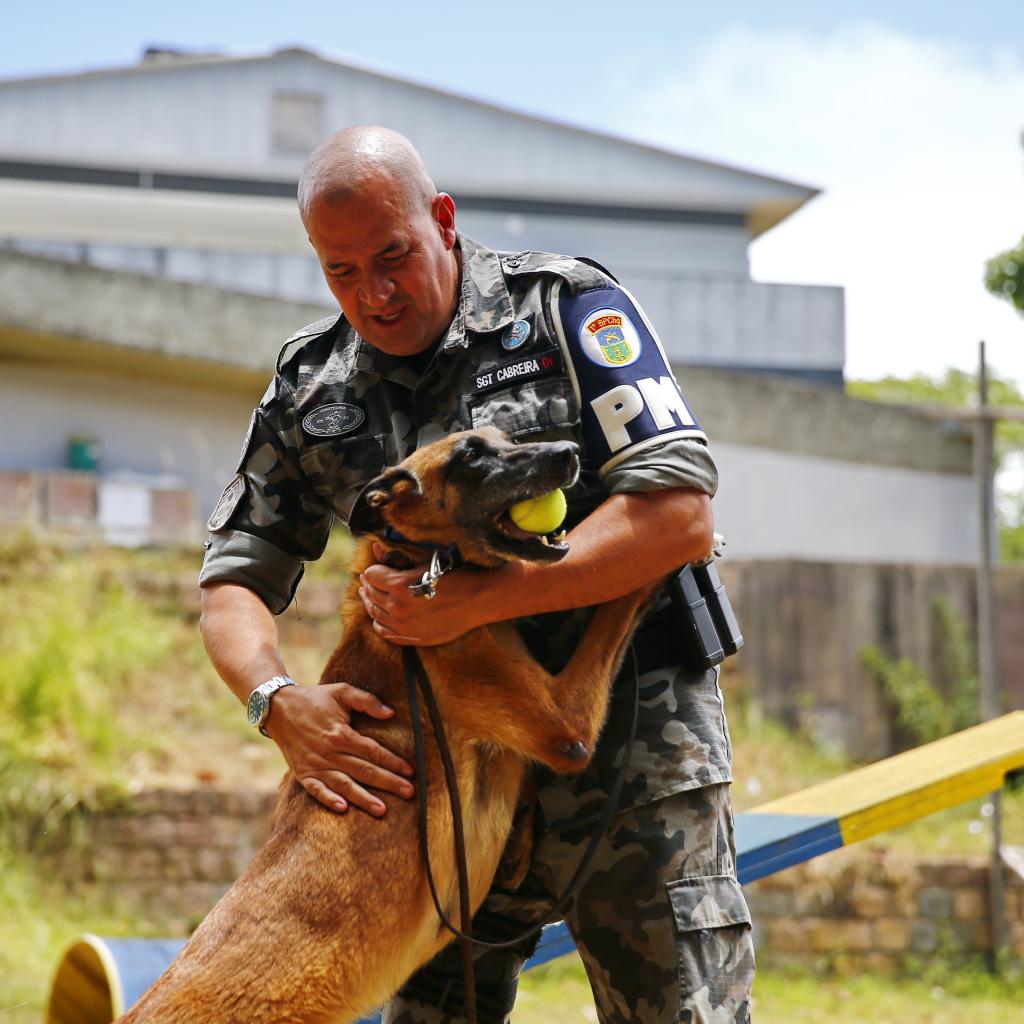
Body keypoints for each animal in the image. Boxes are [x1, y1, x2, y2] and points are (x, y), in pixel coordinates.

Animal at [117, 428, 655, 1024]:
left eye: (505, 439)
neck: (418, 562)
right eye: (471, 455)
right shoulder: (564, 722)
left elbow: (523, 787)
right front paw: (665, 568)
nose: (569, 453)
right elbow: (613, 616)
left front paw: (521, 846)